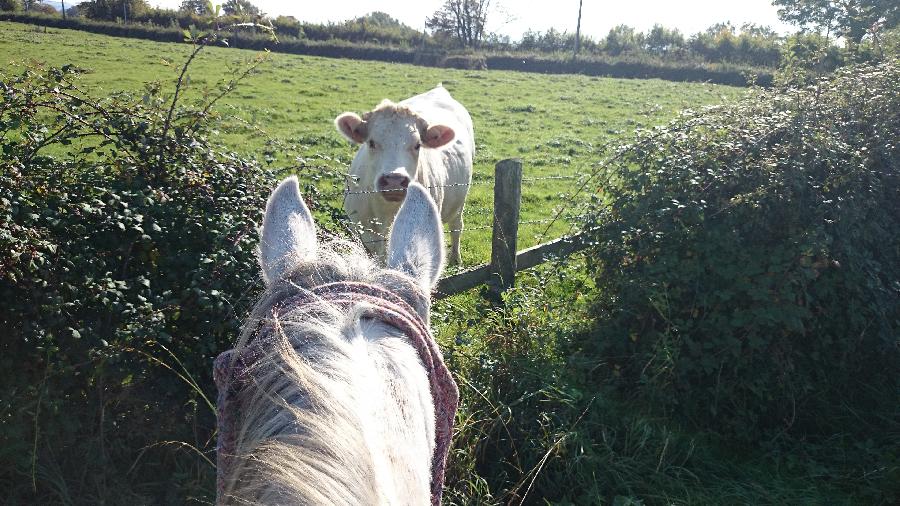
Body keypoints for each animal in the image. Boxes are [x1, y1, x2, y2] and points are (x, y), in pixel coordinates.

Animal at [334, 85, 474, 264]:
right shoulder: (361, 229)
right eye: (371, 143)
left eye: (417, 145)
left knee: (457, 227)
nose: (394, 180)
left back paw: (456, 258)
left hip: (460, 201)